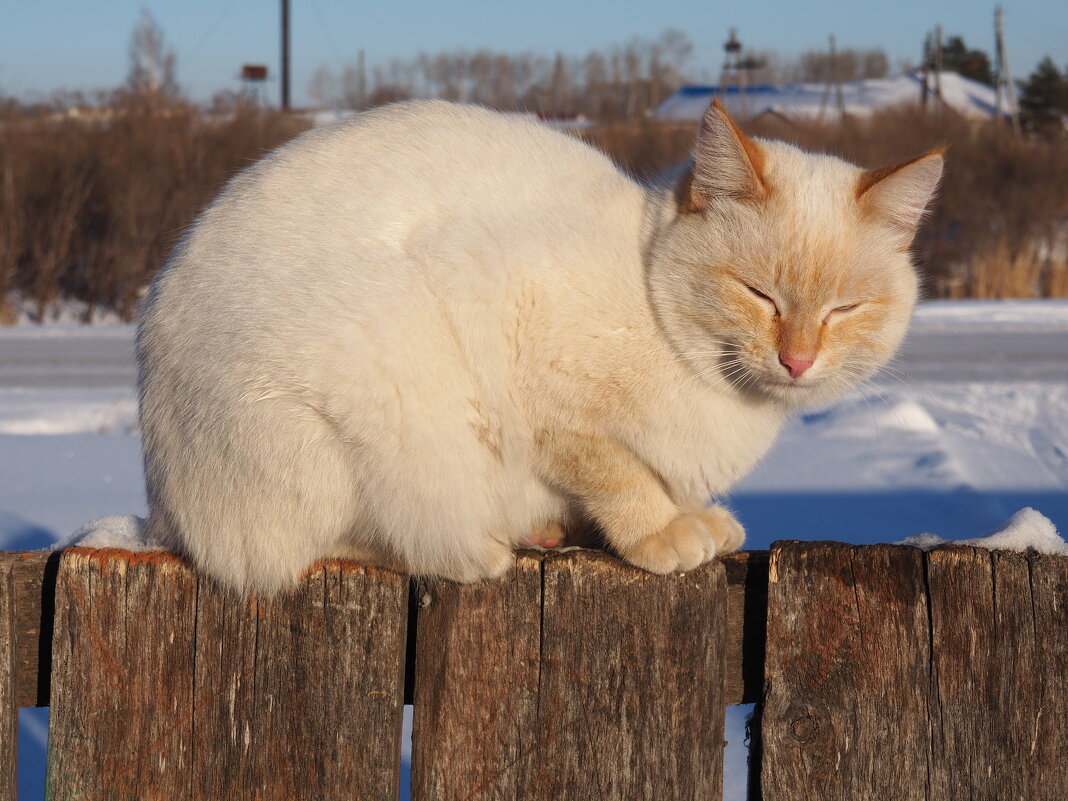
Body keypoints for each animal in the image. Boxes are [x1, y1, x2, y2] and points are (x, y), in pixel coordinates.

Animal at [135, 100, 944, 593]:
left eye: (845, 309)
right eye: (759, 294)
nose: (797, 361)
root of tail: (167, 512)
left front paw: (698, 518)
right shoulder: (530, 369)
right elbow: (619, 475)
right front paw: (664, 532)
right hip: (376, 405)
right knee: (311, 550)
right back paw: (483, 547)